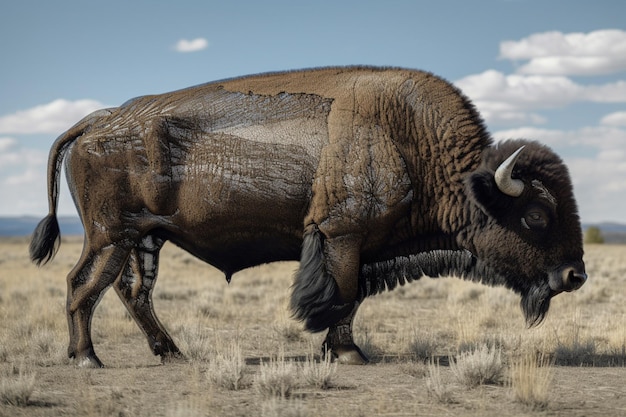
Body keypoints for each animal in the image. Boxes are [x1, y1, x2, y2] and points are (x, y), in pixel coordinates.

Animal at [29, 64, 584, 364]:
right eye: (536, 215)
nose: (574, 275)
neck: (411, 143)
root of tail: (97, 121)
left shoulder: (364, 250)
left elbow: (353, 298)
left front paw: (341, 350)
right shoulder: (340, 237)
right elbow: (339, 295)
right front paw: (349, 354)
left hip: (144, 238)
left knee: (131, 292)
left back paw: (170, 352)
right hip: (110, 235)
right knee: (84, 285)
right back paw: (87, 358)